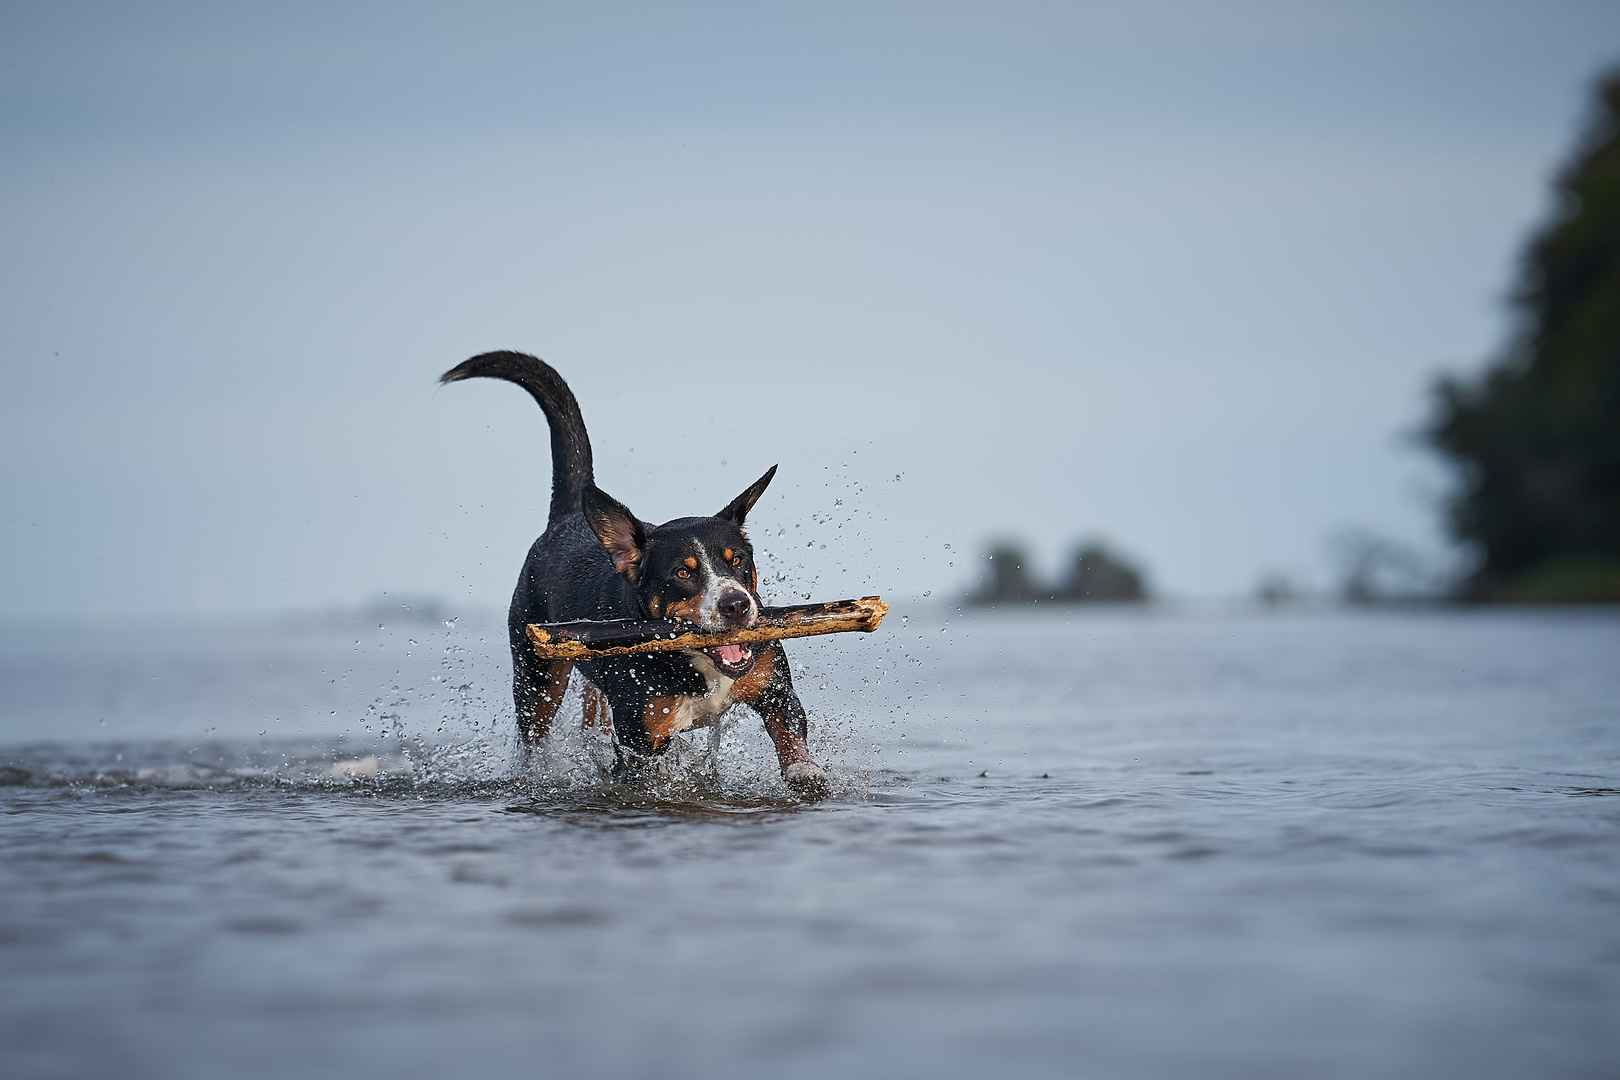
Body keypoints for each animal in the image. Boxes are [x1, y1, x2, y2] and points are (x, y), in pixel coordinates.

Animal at [440, 351, 829, 790]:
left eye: (737, 560)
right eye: (682, 574)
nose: (736, 605)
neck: (693, 658)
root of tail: (567, 517)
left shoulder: (774, 685)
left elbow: (789, 730)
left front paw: (804, 770)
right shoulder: (639, 739)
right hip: (536, 677)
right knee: (535, 735)